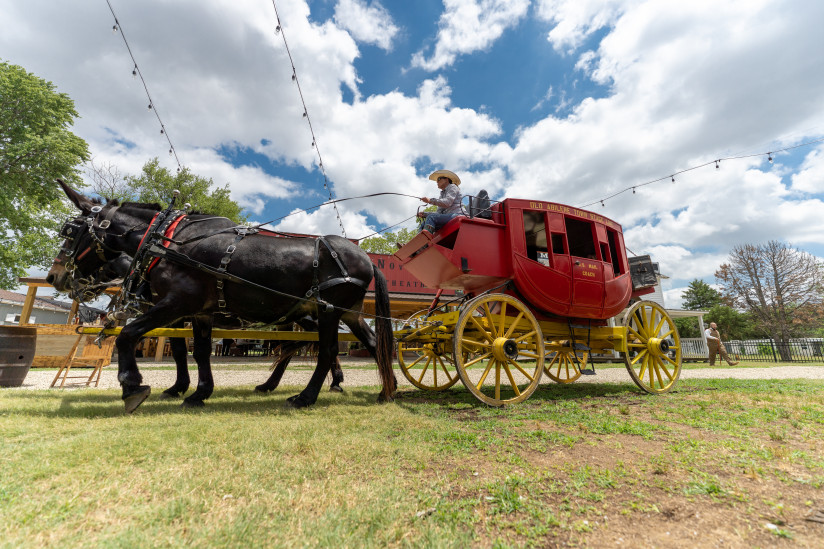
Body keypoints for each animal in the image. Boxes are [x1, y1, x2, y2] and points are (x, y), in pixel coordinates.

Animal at [48, 181, 396, 412]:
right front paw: (198, 392)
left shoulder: (177, 304)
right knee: (373, 343)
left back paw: (306, 396)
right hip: (346, 312)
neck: (168, 241)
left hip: (328, 309)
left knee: (326, 350)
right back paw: (387, 390)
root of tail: (365, 258)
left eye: (71, 230)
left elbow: (129, 335)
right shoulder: (199, 312)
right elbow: (198, 351)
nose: (55, 276)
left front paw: (133, 385)